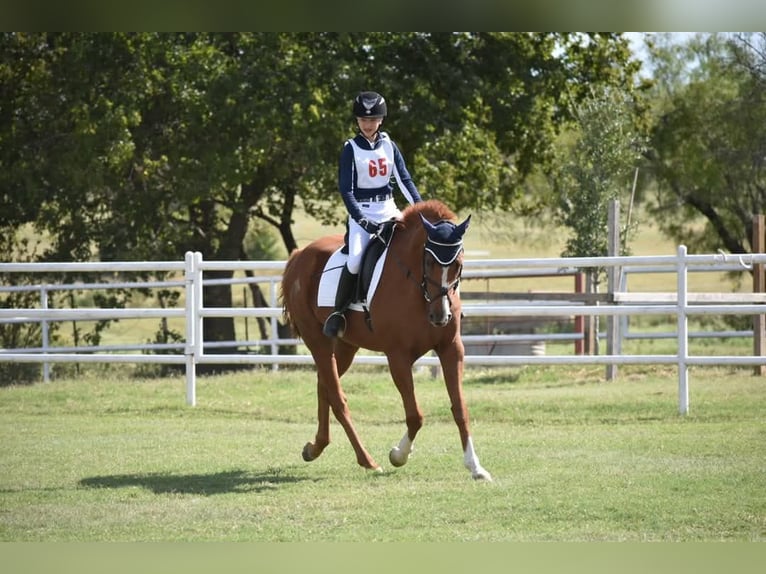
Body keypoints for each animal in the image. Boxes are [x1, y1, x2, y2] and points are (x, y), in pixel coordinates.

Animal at [280, 199, 492, 482]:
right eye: (428, 261)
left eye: (458, 263)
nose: (440, 316)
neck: (417, 288)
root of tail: (299, 255)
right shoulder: (398, 356)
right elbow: (415, 416)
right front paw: (398, 455)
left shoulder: (451, 349)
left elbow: (460, 408)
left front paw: (475, 467)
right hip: (318, 342)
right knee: (337, 397)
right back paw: (367, 460)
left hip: (345, 346)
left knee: (323, 386)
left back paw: (315, 448)